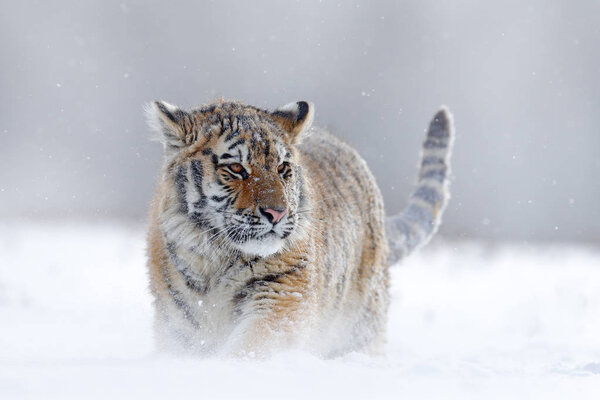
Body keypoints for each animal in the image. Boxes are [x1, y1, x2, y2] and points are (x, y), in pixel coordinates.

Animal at [146, 99, 454, 356]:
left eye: (282, 168)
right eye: (236, 168)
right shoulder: (176, 324)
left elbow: (251, 345)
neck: (216, 259)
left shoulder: (282, 295)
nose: (277, 213)